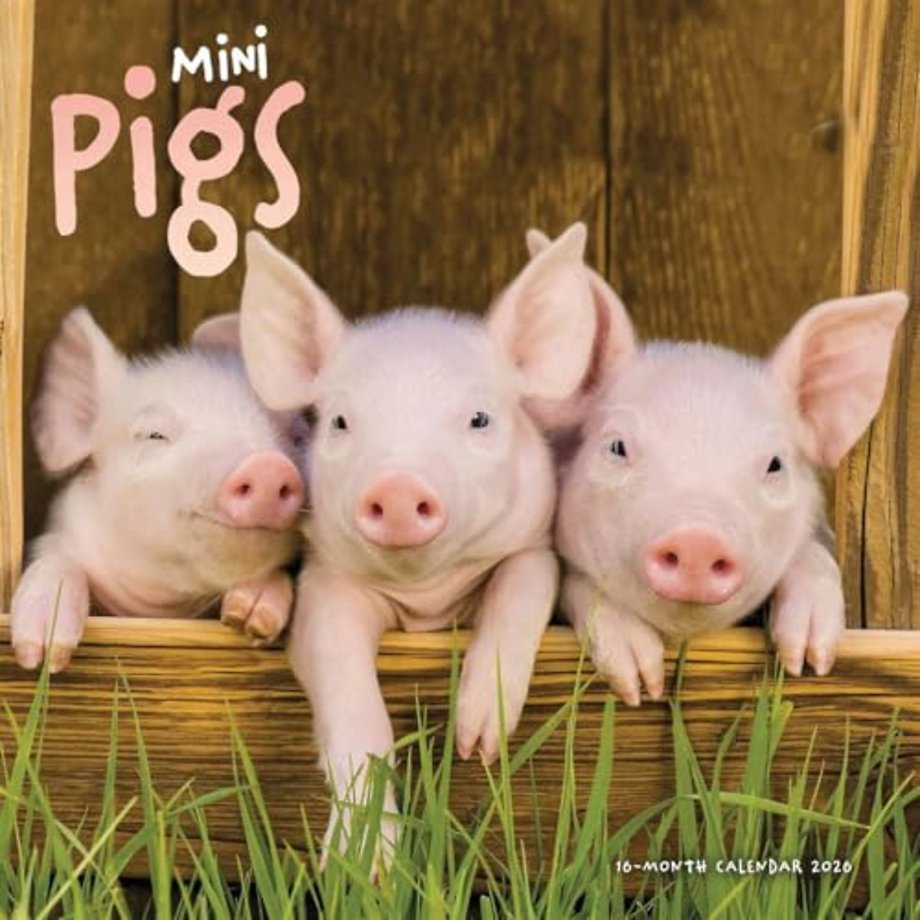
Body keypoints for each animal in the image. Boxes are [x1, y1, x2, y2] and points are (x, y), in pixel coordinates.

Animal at [10, 308, 308, 672]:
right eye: (155, 434)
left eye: (296, 437)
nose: (267, 464)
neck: (168, 605)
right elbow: (55, 562)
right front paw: (42, 656)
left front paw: (249, 618)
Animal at [237, 225, 597, 863]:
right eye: (340, 422)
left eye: (480, 419)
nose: (399, 487)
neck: (425, 597)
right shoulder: (328, 585)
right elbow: (348, 693)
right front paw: (361, 866)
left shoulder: (533, 548)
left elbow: (521, 590)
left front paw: (477, 742)